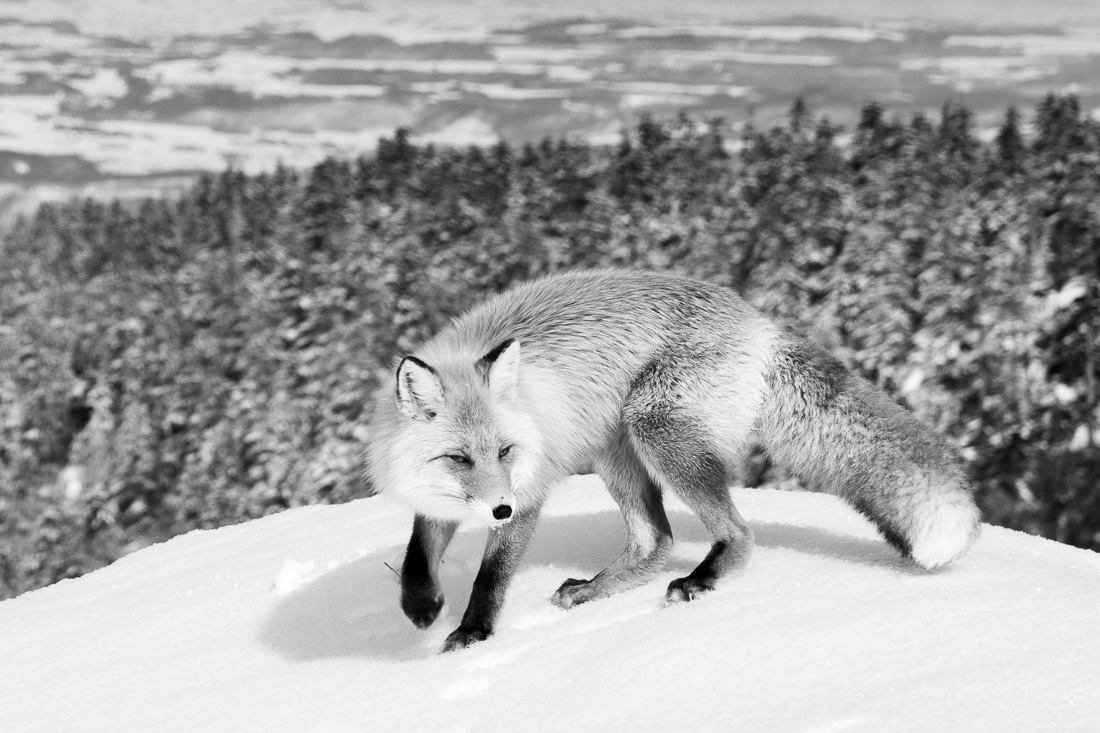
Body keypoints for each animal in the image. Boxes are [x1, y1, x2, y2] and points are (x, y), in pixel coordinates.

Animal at [365, 269, 981, 653]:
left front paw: (472, 636)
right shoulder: (438, 498)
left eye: (505, 451)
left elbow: (490, 577)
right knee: (654, 540)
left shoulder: (529, 489)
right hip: (617, 450)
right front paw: (422, 607)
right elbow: (418, 554)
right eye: (459, 457)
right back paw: (593, 591)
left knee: (736, 534)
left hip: (656, 428)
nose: (499, 511)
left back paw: (701, 580)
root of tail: (759, 321)